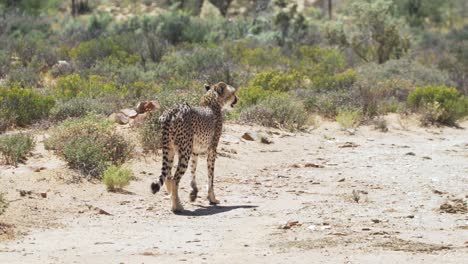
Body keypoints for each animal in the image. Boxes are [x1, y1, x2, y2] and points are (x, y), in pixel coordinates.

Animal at [151, 82, 238, 212]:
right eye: (233, 93)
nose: (237, 99)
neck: (212, 102)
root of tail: (171, 110)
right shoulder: (212, 149)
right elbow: (211, 175)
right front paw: (212, 198)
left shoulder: (194, 150)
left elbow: (193, 168)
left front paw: (193, 193)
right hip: (184, 151)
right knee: (175, 179)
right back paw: (177, 207)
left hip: (169, 149)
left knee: (168, 176)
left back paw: (174, 199)